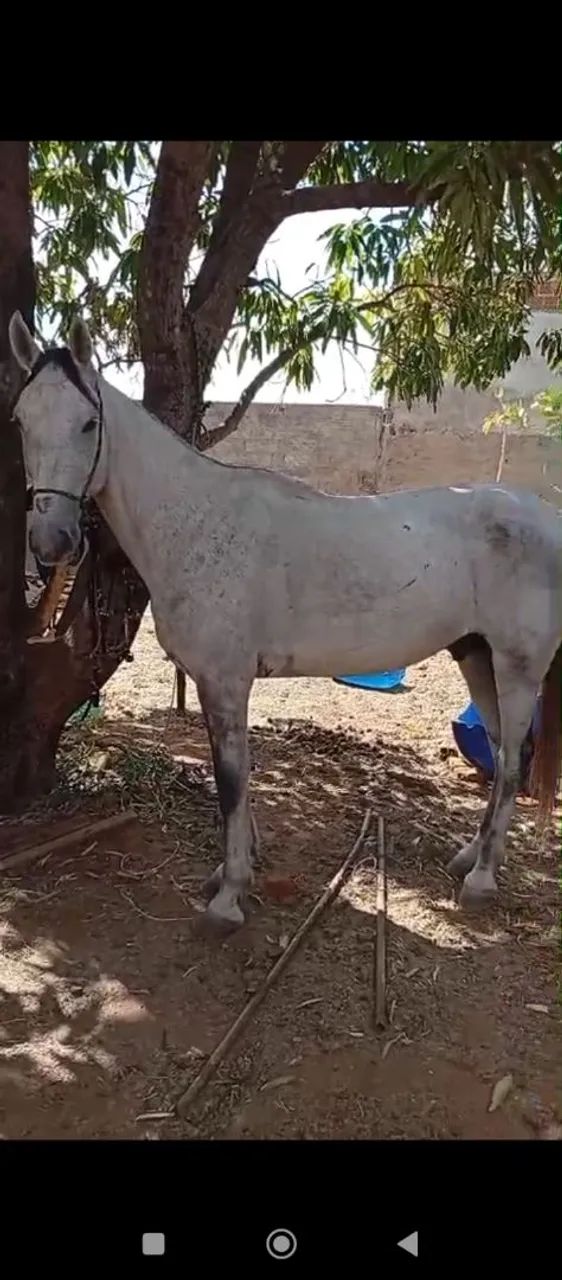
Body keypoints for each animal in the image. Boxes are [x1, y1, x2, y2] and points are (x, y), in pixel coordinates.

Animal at [8, 311, 562, 931]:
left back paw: (482, 880)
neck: (195, 521)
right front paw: (231, 872)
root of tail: (545, 516)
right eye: (21, 420)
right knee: (501, 751)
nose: (52, 542)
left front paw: (228, 898)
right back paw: (469, 856)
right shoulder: (215, 684)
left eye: (88, 424)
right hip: (475, 654)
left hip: (517, 668)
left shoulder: (227, 682)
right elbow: (237, 777)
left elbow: (229, 781)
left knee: (512, 763)